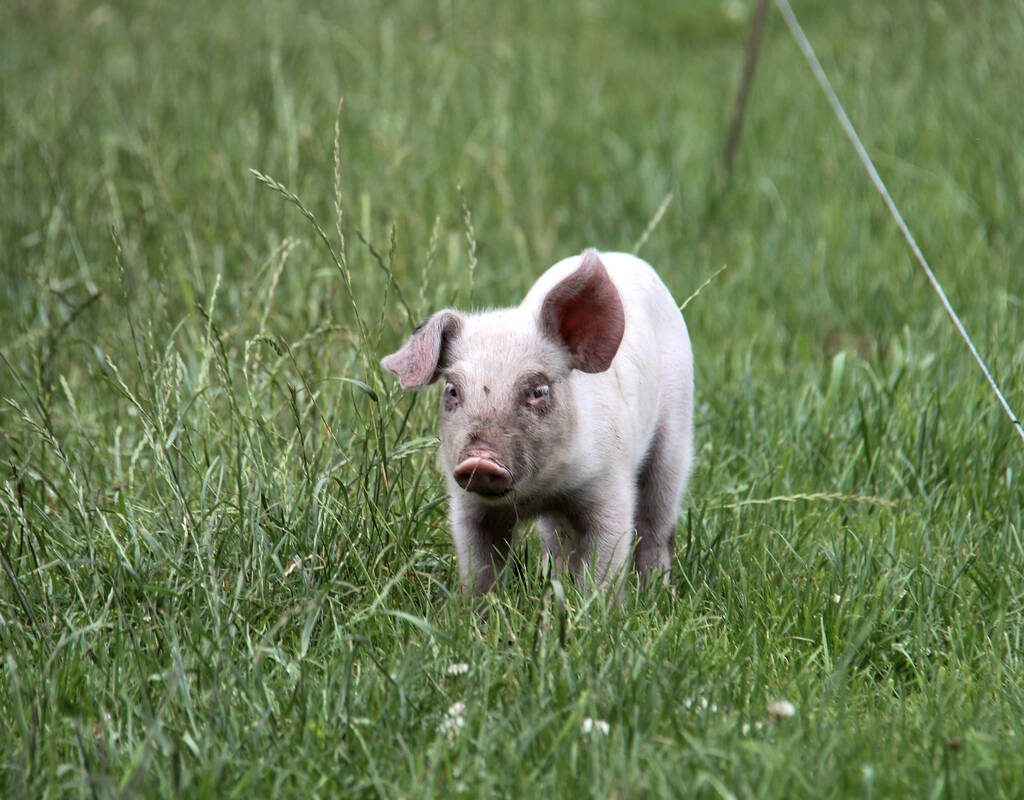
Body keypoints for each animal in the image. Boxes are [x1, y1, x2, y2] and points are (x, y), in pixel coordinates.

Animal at [381, 249, 694, 596]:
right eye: (452, 390)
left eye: (538, 391)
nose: (480, 461)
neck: (540, 492)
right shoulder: (467, 506)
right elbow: (479, 570)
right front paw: (478, 609)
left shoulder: (609, 484)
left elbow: (606, 558)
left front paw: (594, 605)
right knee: (557, 538)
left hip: (676, 434)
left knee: (657, 523)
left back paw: (657, 590)